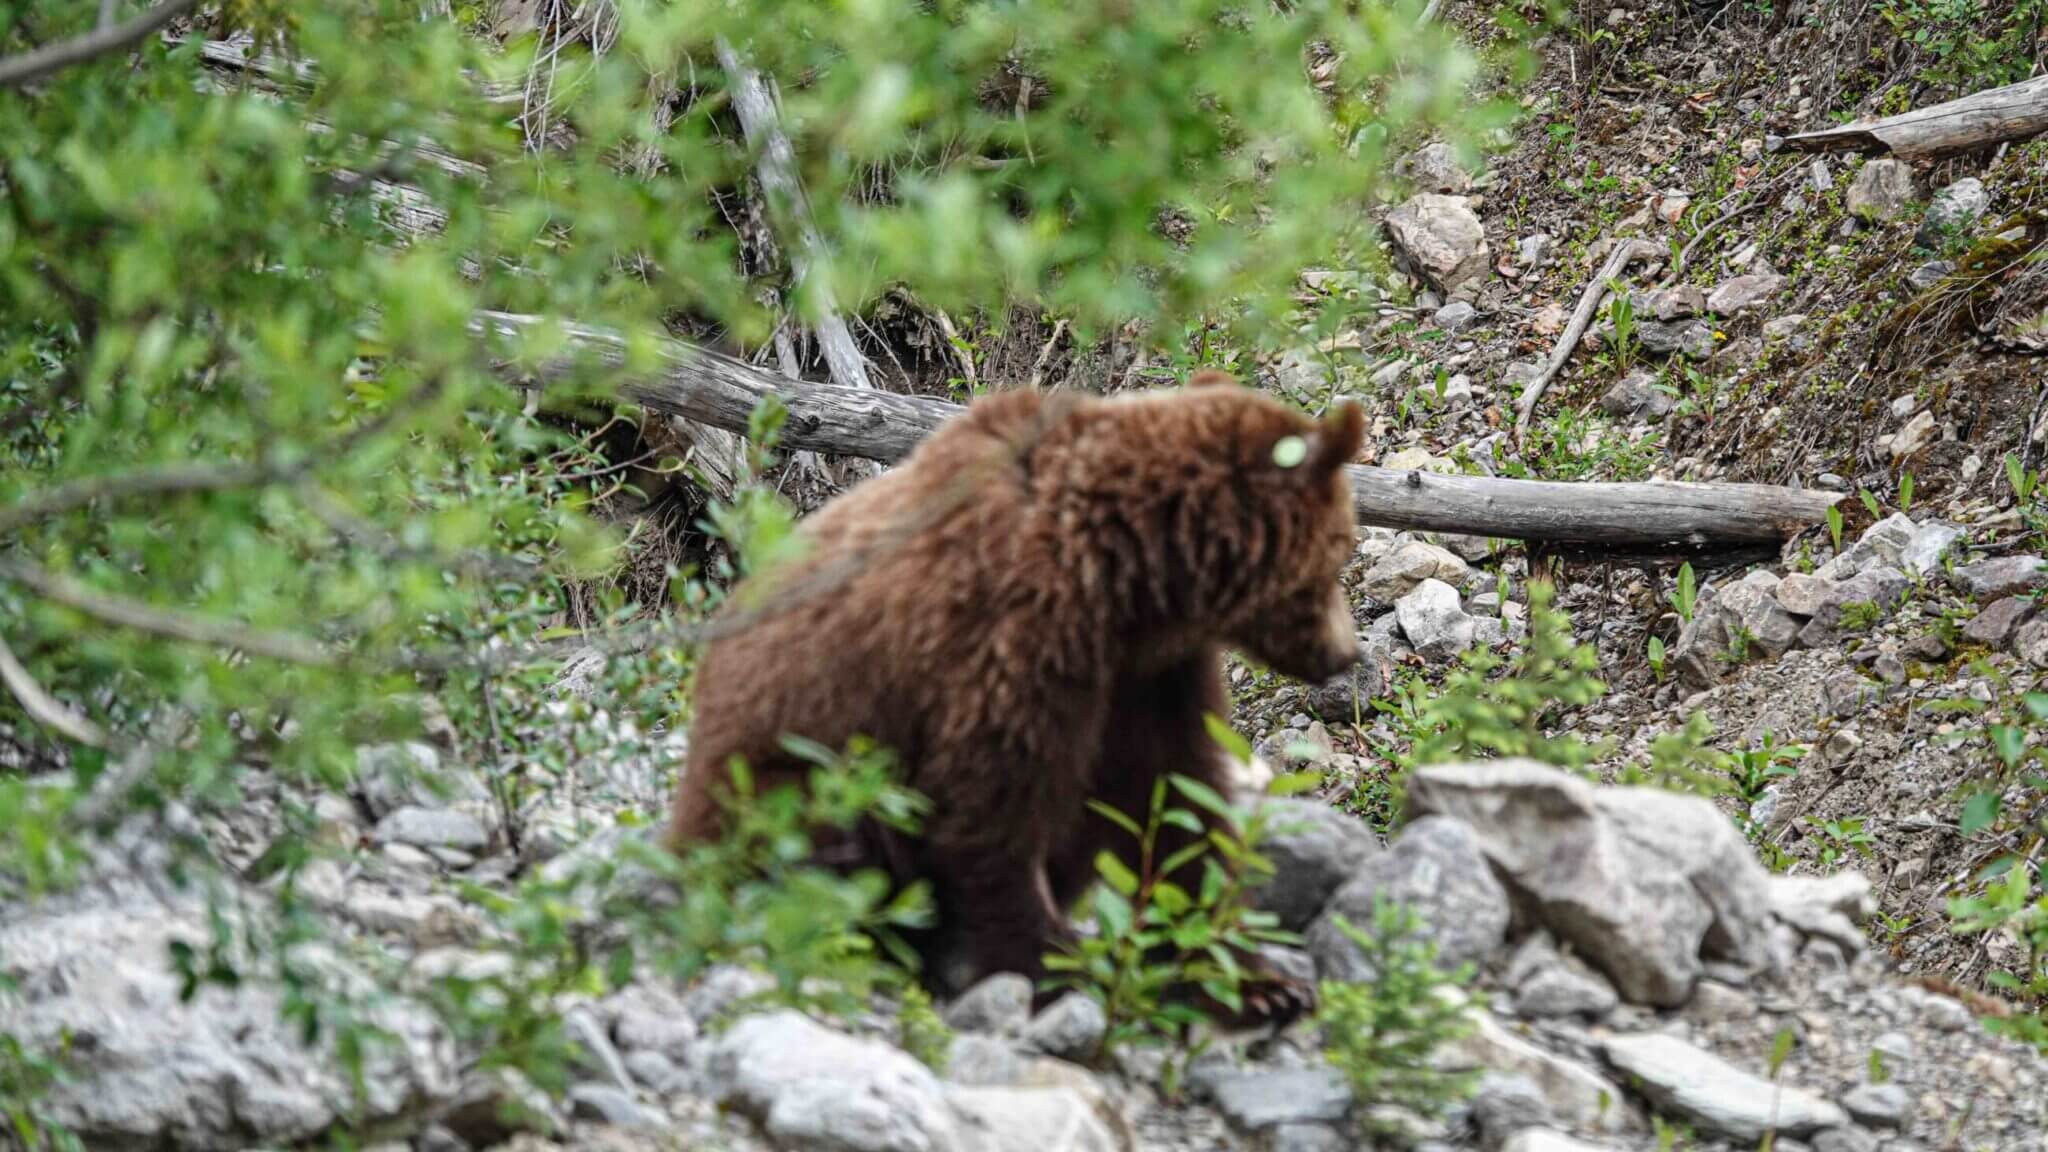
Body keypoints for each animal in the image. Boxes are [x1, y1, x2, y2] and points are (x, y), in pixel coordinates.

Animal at [671, 370, 1364, 1025]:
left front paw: (1257, 985)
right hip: (791, 771)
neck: (1125, 579)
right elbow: (988, 814)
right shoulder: (1008, 639)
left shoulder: (1144, 677)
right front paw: (1055, 969)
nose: (1346, 655)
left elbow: (1174, 804)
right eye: (1340, 550)